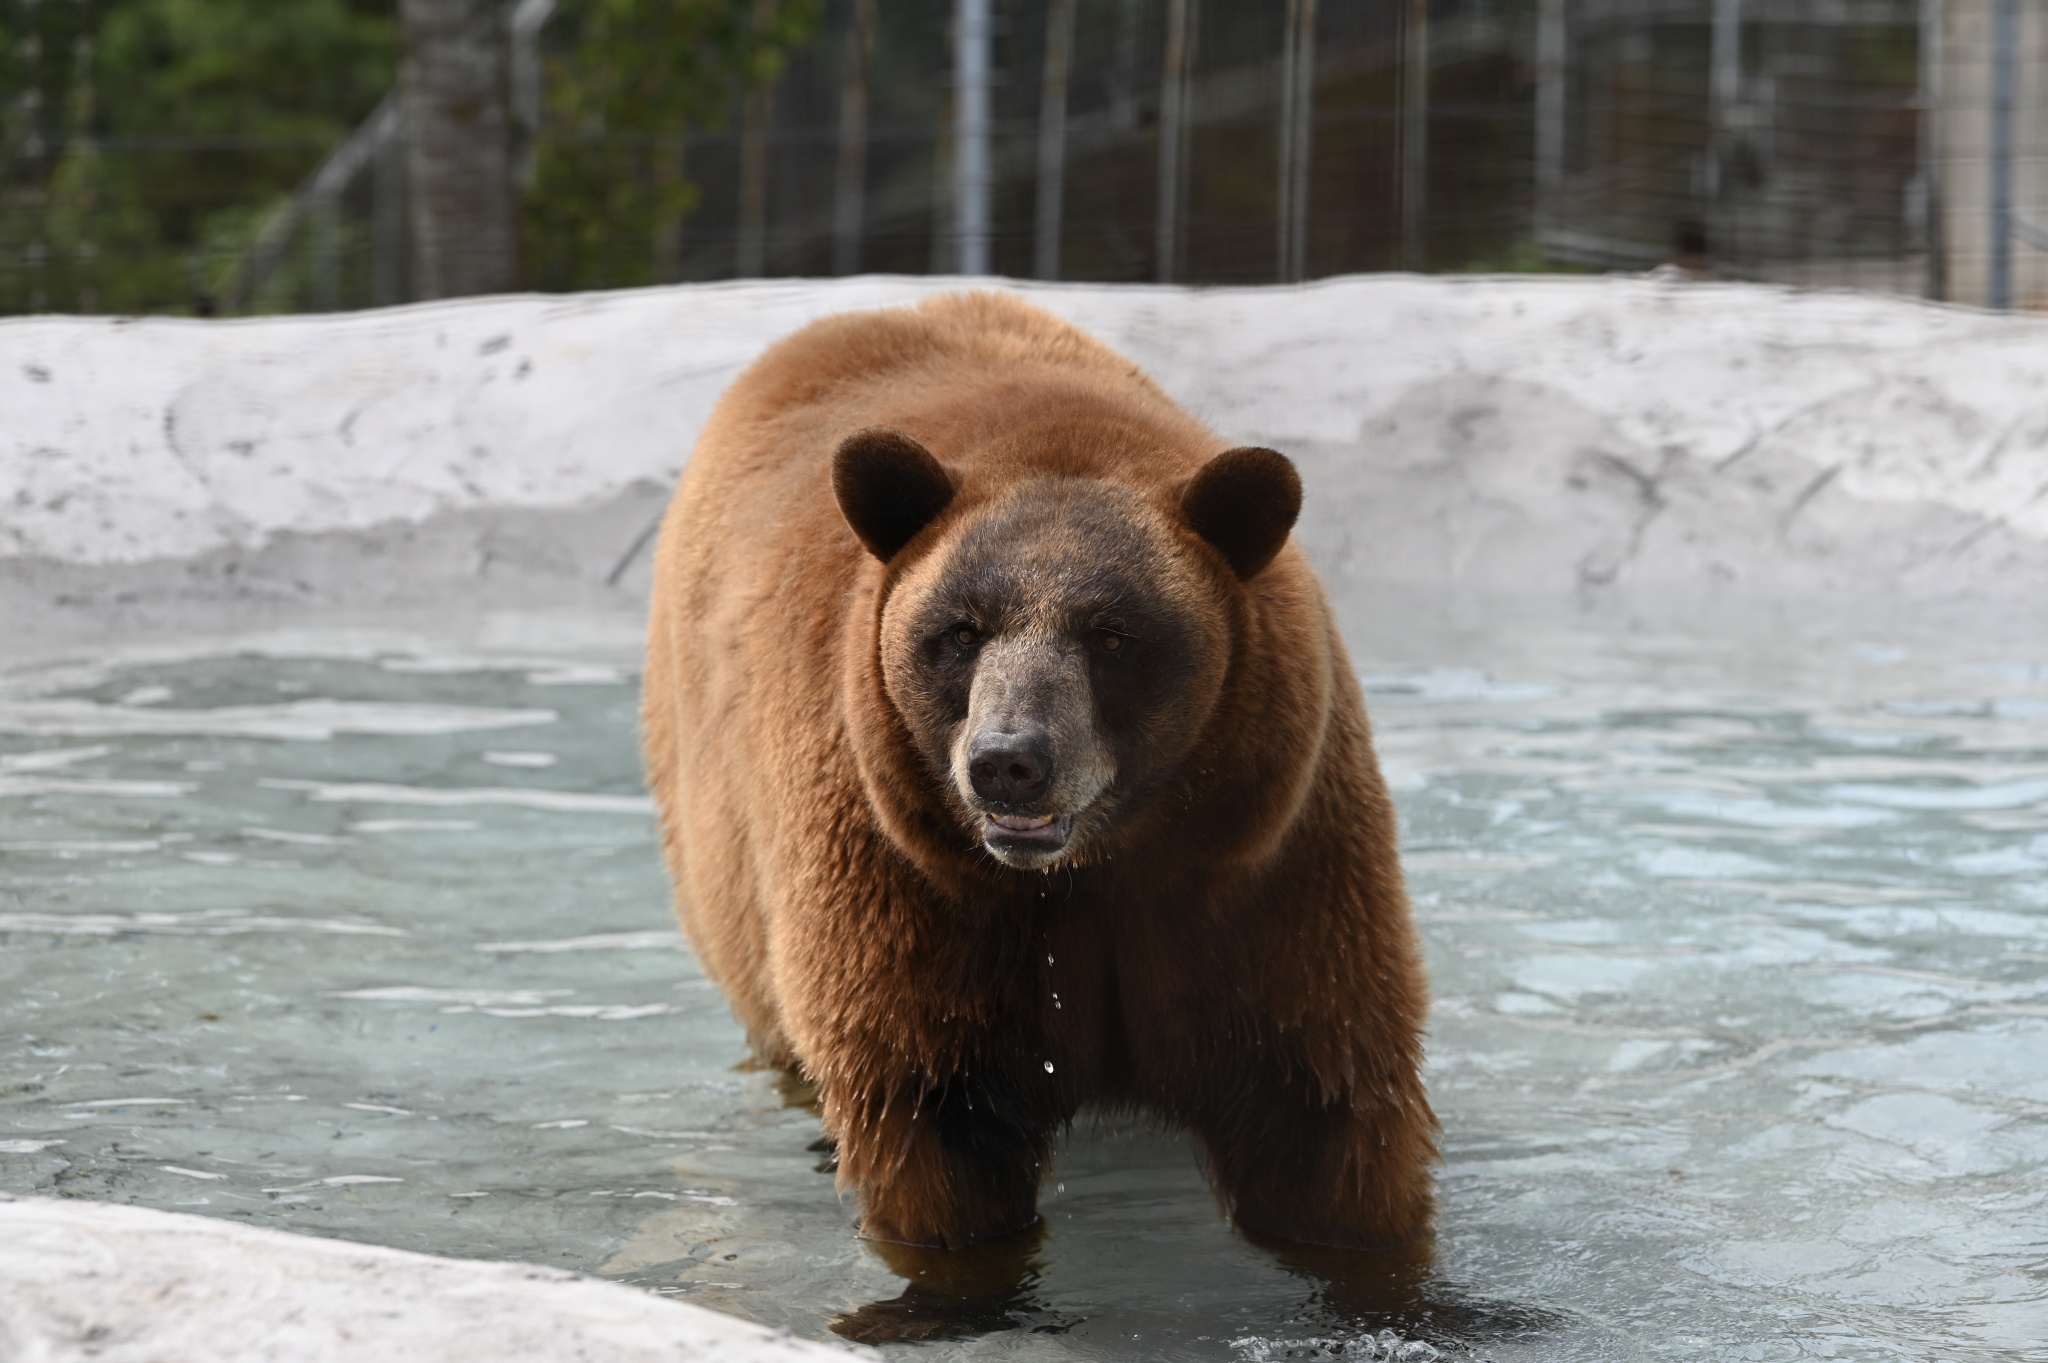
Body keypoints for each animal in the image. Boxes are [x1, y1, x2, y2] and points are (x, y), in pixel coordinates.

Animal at [641, 291, 1436, 1252]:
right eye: (960, 629)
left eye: (1113, 633)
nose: (1007, 763)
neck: (1097, 870)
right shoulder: (910, 884)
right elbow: (935, 1115)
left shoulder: (1262, 863)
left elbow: (1320, 1110)